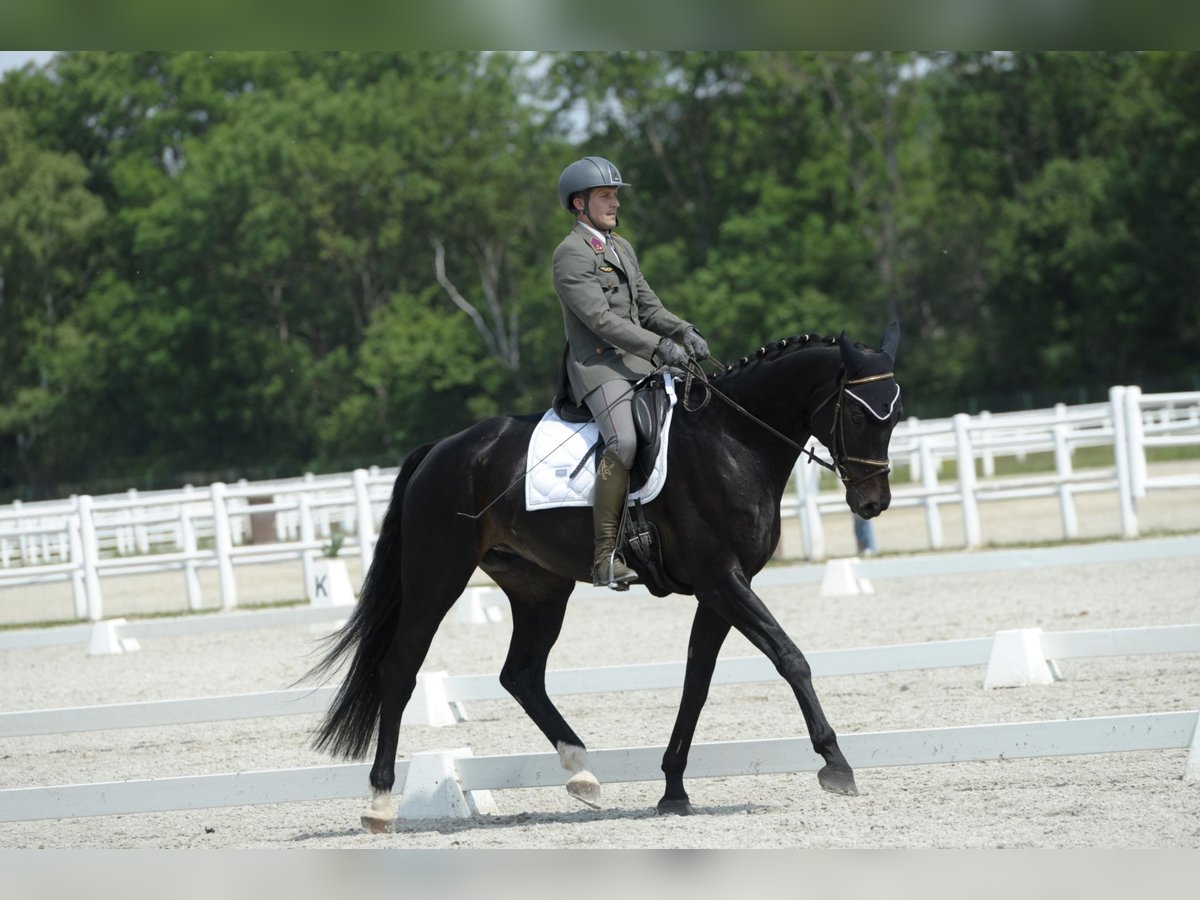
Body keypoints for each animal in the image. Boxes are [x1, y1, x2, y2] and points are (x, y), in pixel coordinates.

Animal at [309, 321, 902, 830]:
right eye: (857, 417)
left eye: (894, 418)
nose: (873, 504)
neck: (734, 440)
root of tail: (442, 449)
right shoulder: (722, 581)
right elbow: (790, 657)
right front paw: (836, 764)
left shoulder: (719, 590)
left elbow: (697, 683)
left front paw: (673, 790)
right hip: (437, 576)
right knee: (400, 669)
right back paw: (380, 803)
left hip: (541, 589)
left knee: (521, 675)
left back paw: (583, 774)